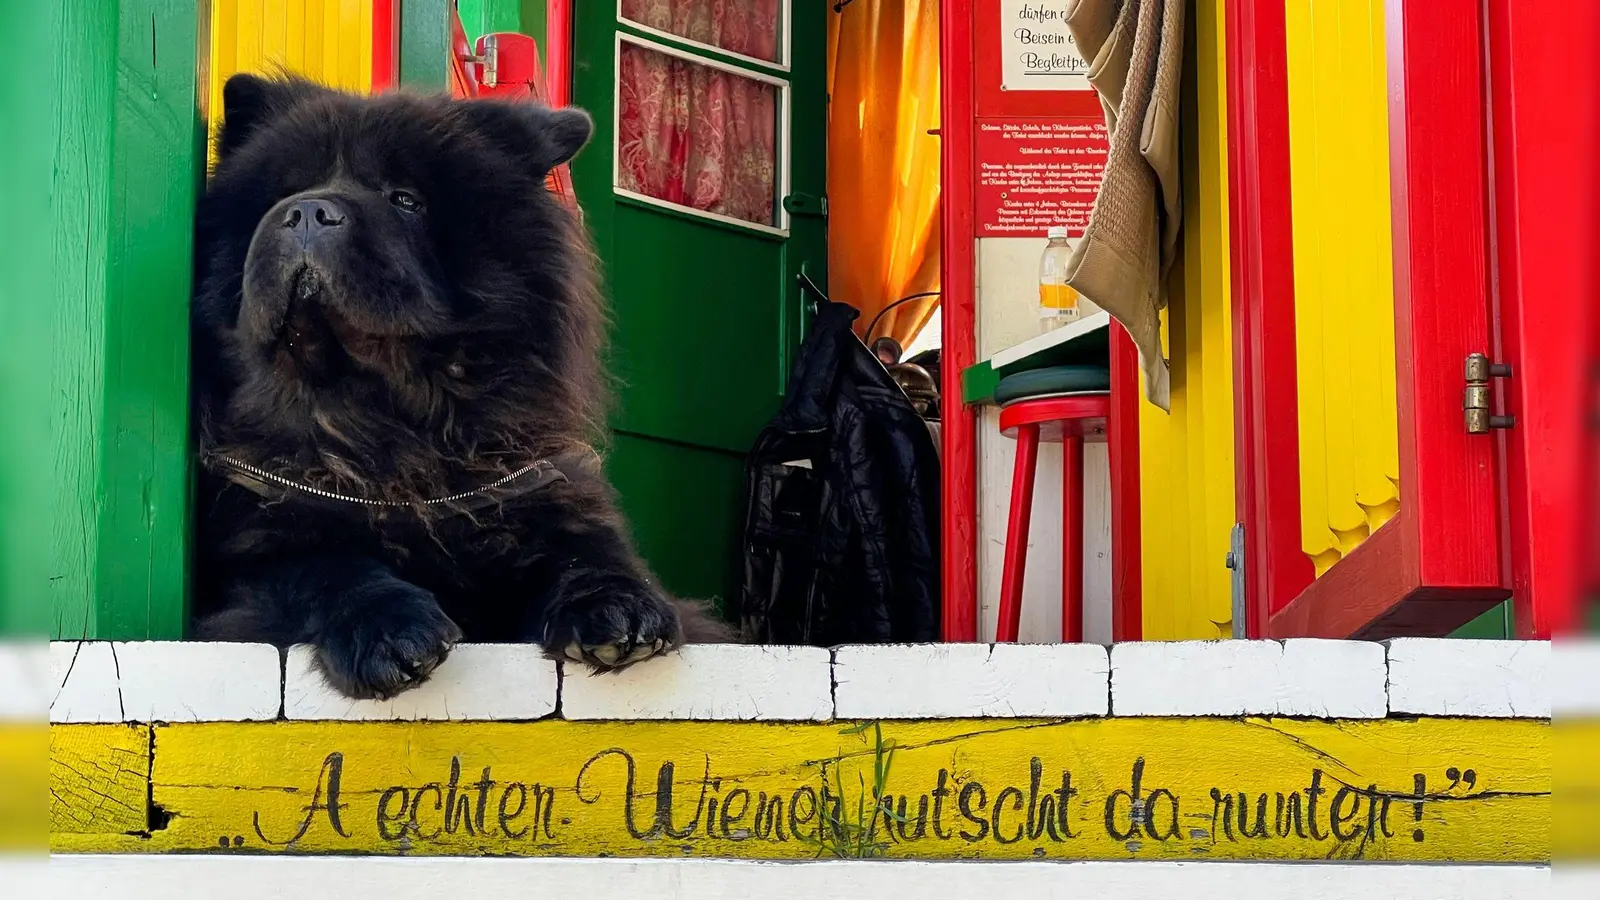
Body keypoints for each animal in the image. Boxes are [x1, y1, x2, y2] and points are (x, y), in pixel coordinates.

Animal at [188, 73, 732, 698]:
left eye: (405, 199)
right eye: (287, 191)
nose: (304, 211)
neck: (388, 433)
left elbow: (588, 553)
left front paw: (619, 609)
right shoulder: (256, 543)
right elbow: (322, 568)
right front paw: (390, 633)